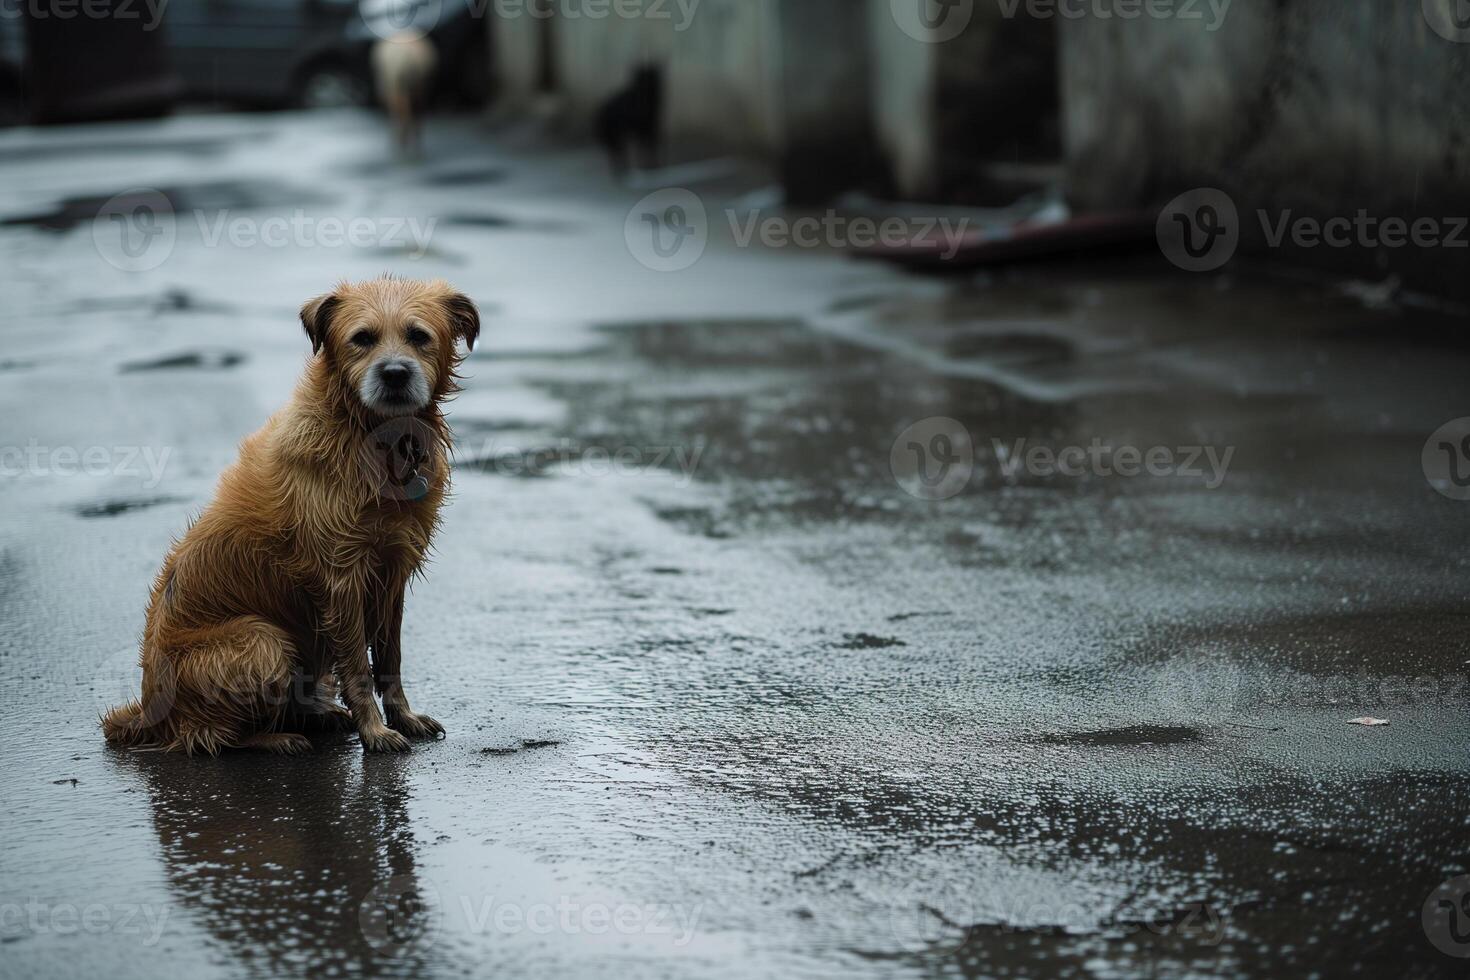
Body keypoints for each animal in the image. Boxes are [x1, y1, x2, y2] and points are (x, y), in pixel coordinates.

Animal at [105, 277, 482, 758]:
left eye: (418, 336)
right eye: (362, 338)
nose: (395, 373)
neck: (369, 437)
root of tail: (152, 713)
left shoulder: (391, 570)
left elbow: (390, 657)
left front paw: (403, 716)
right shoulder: (341, 578)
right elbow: (358, 666)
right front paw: (375, 730)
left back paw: (317, 715)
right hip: (262, 641)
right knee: (210, 737)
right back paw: (277, 737)